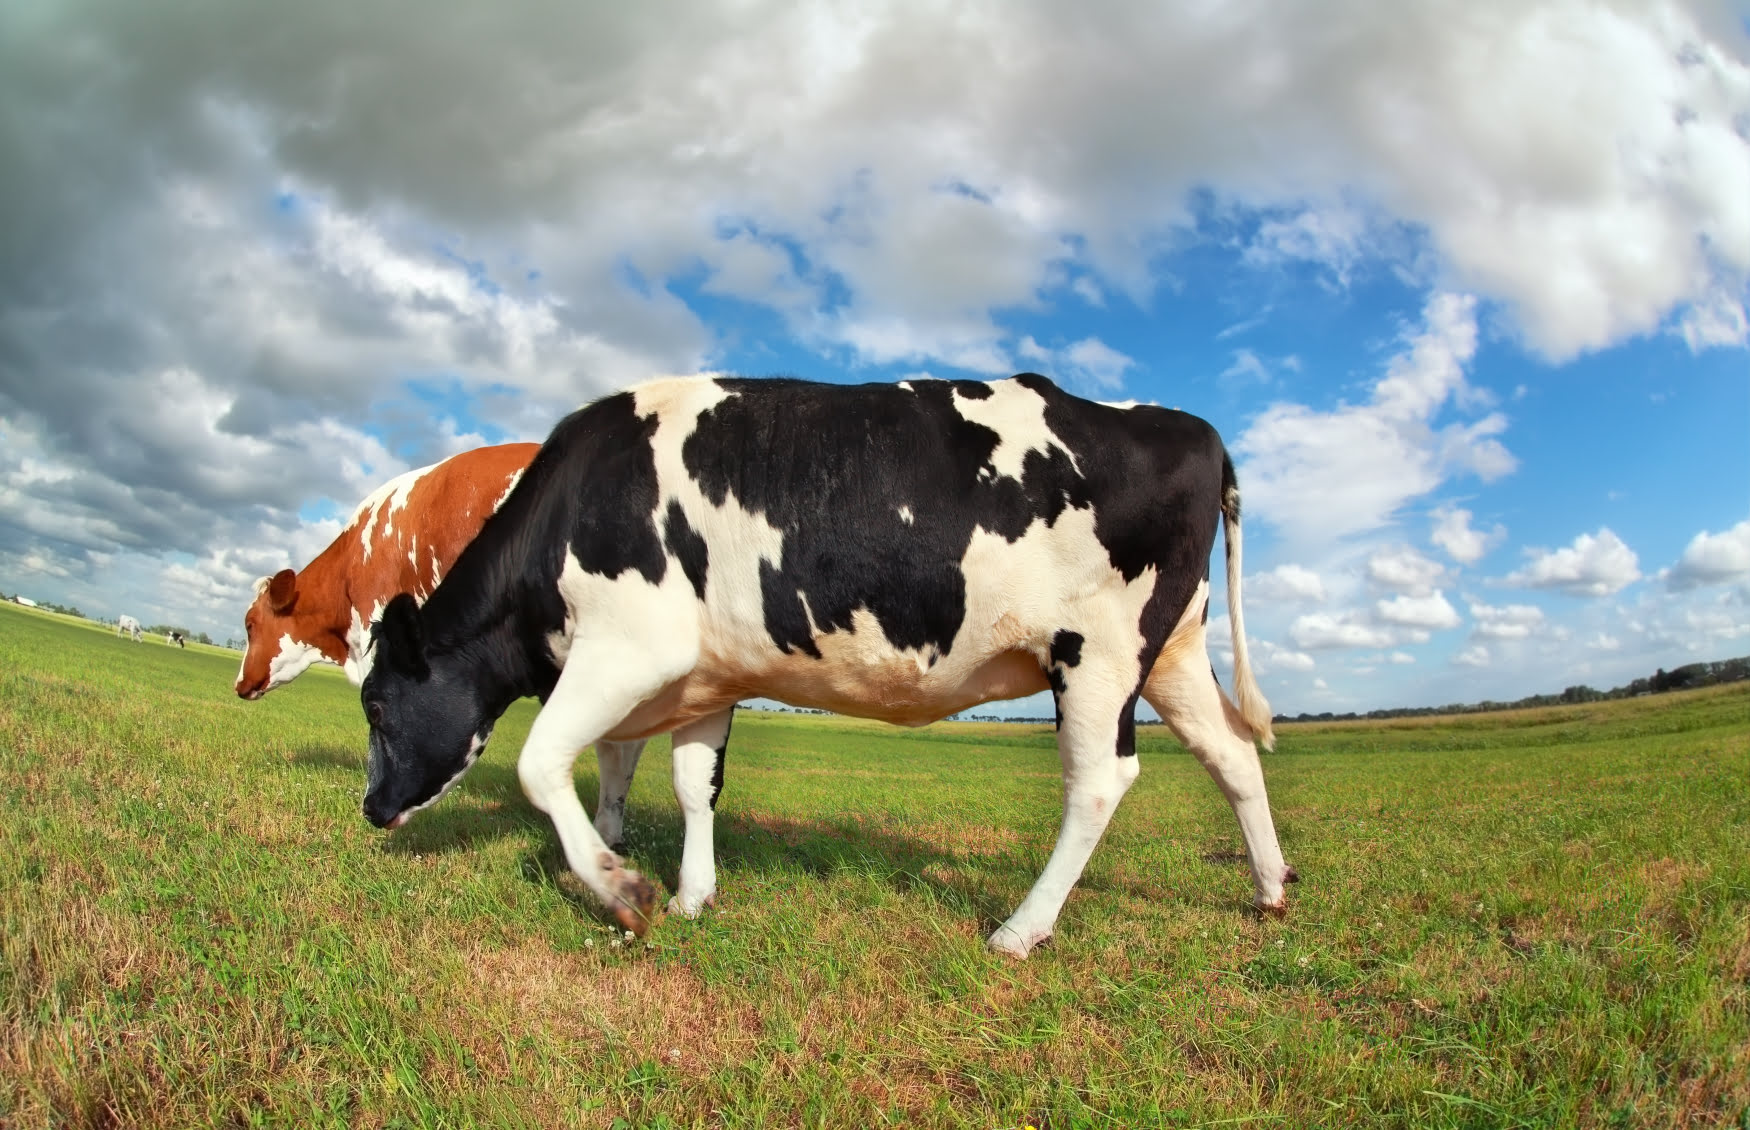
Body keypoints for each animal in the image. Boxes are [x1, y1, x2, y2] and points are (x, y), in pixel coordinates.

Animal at [359, 374, 1293, 958]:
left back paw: (1020, 931)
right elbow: (693, 783)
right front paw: (695, 895)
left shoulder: (632, 646)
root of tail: (1188, 424)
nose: (369, 810)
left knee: (1099, 783)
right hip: (1170, 652)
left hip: (1098, 652)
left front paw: (623, 888)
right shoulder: (706, 675)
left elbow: (541, 763)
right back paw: (1271, 888)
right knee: (1233, 754)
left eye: (375, 706)